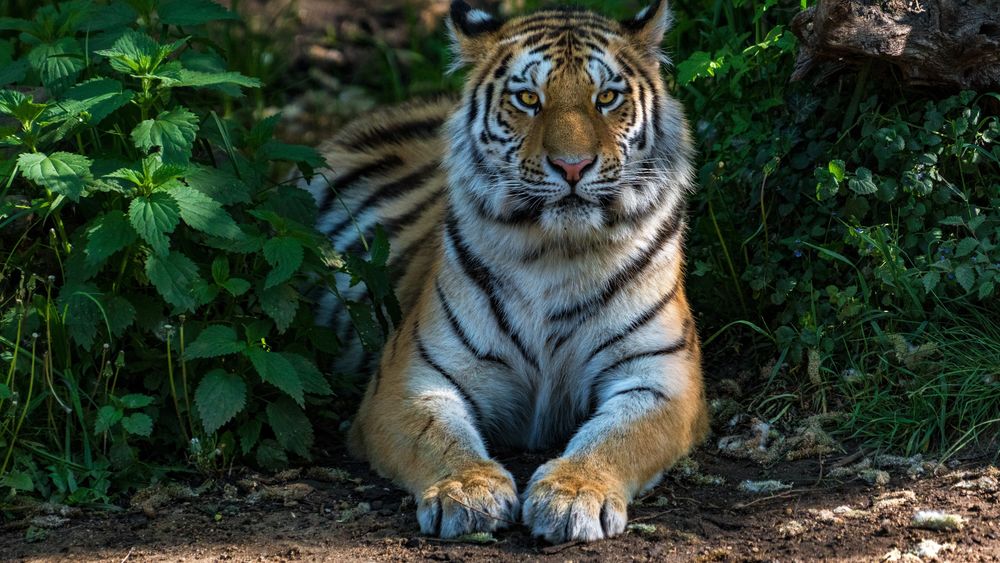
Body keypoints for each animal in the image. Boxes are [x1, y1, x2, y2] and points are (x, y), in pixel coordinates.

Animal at [303, 0, 709, 543]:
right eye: (528, 99)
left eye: (606, 97)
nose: (573, 166)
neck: (558, 254)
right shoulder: (410, 377)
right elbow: (437, 436)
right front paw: (468, 490)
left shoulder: (661, 376)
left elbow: (620, 436)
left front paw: (574, 493)